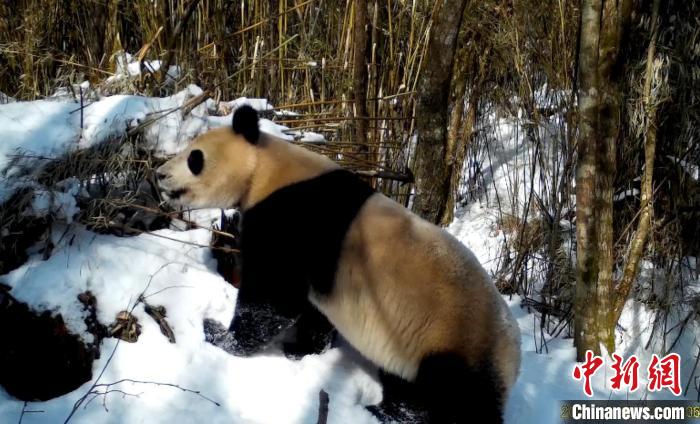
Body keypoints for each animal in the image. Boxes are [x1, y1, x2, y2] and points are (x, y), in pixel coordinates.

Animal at [157, 104, 520, 422]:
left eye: (194, 158)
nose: (160, 174)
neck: (265, 168)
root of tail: (512, 359)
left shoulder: (293, 220)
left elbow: (272, 297)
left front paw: (219, 335)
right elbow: (310, 308)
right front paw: (301, 350)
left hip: (450, 343)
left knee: (440, 400)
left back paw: (384, 413)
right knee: (403, 384)